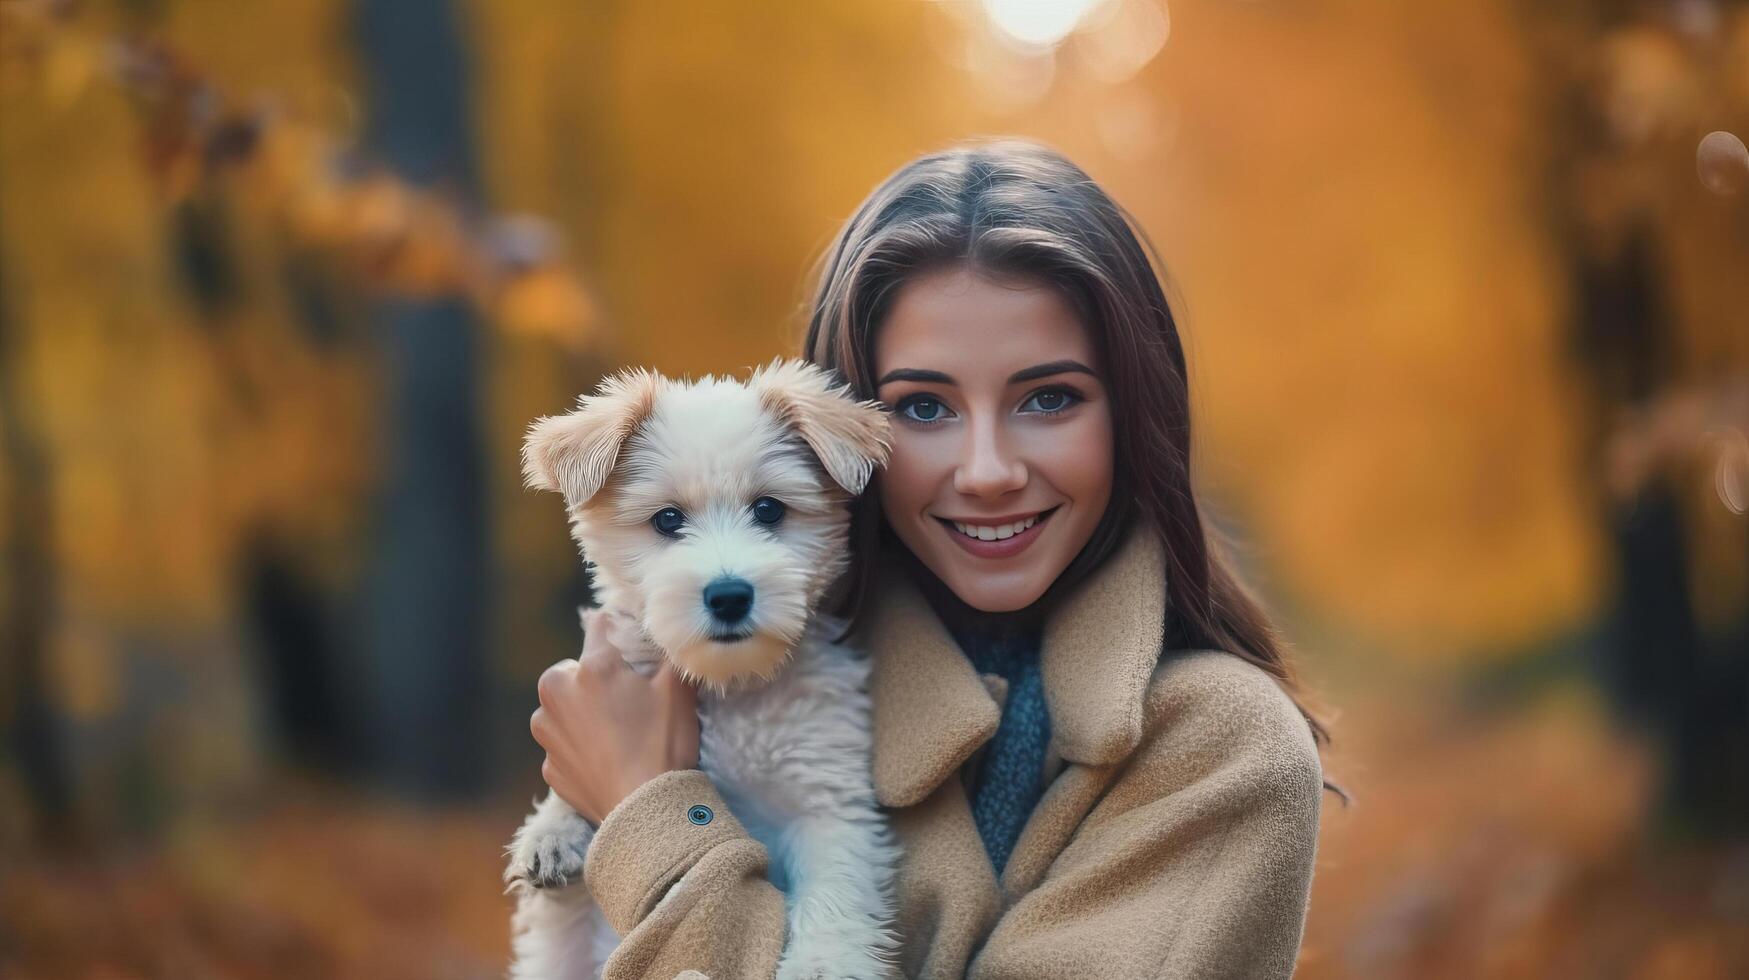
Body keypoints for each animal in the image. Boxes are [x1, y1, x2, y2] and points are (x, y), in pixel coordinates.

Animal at [500, 360, 895, 980]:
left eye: (769, 509)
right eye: (667, 520)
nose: (729, 595)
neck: (729, 685)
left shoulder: (826, 799)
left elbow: (834, 891)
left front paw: (823, 963)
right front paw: (554, 829)